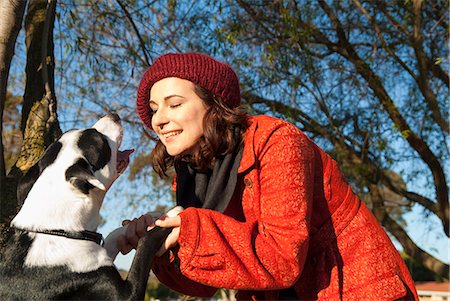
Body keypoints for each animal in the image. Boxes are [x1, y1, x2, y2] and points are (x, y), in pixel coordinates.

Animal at [0, 113, 172, 298]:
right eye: (100, 139)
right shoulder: (125, 294)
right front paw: (170, 217)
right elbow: (145, 243)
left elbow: (112, 235)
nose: (114, 115)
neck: (58, 230)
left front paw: (148, 219)